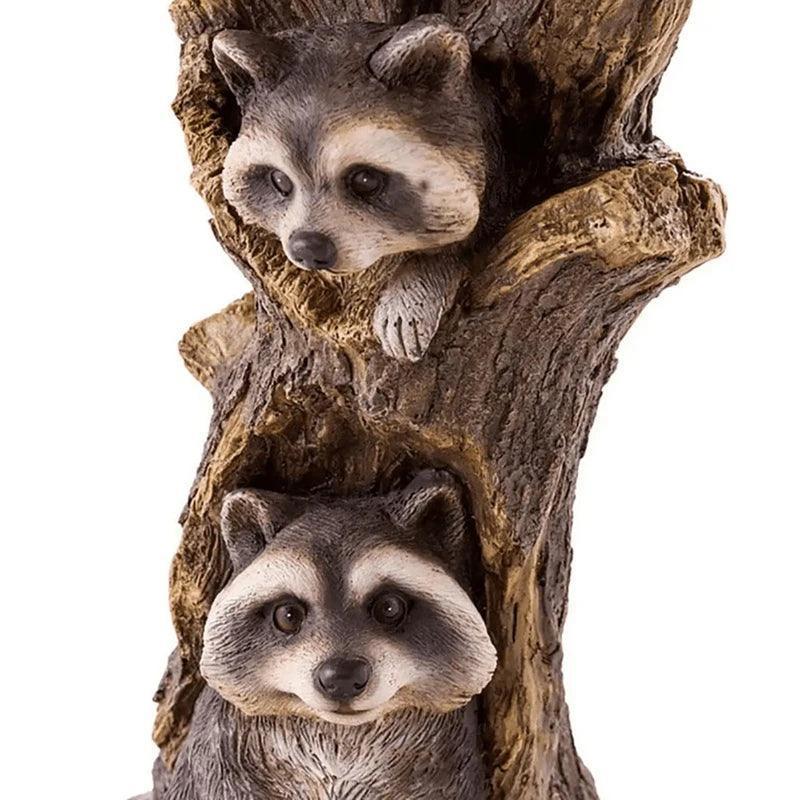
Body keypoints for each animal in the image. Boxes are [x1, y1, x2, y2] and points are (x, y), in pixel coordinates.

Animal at [151, 471, 496, 800]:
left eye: (389, 607)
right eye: (288, 615)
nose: (342, 677)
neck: (341, 733)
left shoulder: (448, 755)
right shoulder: (222, 750)